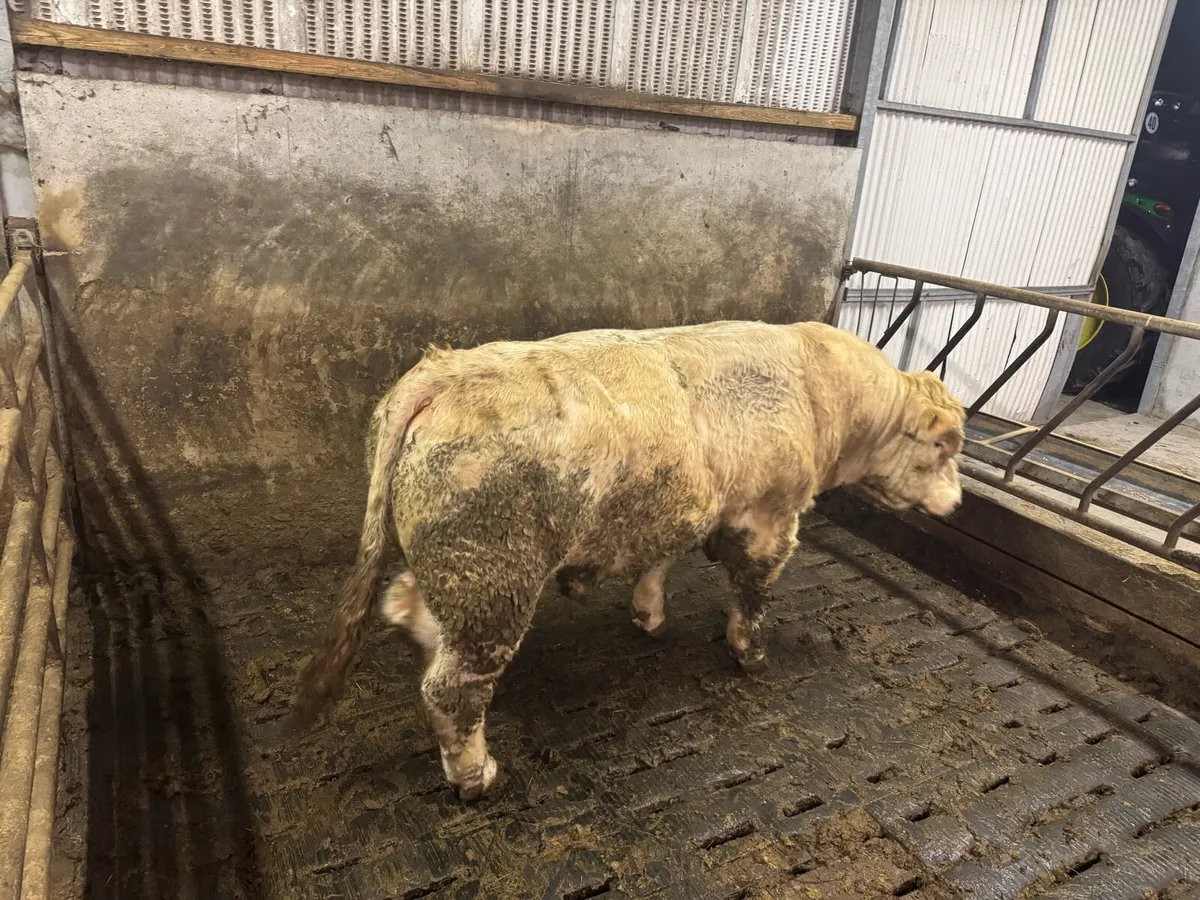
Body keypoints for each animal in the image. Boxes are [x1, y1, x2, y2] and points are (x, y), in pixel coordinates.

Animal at [282, 320, 965, 800]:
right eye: (941, 449)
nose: (958, 504)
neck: (825, 393)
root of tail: (444, 371)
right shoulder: (768, 515)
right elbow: (751, 593)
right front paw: (751, 655)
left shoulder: (682, 506)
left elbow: (663, 556)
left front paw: (649, 614)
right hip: (493, 576)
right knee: (453, 686)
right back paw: (476, 777)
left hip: (456, 572)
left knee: (409, 611)